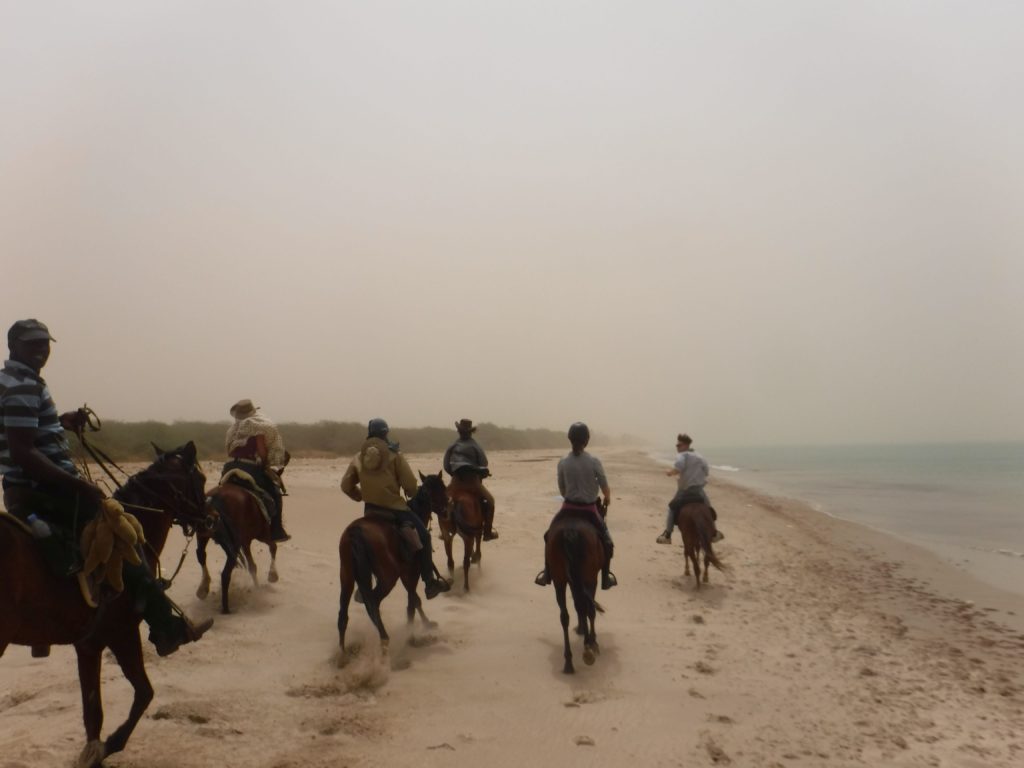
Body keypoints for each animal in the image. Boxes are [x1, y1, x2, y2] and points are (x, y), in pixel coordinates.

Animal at [0, 444, 210, 768]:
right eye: (200, 479)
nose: (211, 518)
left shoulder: (88, 643)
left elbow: (92, 713)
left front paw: (94, 752)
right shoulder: (121, 633)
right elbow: (144, 693)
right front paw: (110, 745)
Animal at [194, 466, 284, 618]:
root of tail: (216, 500)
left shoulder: (245, 542)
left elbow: (252, 566)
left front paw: (257, 588)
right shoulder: (262, 535)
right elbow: (273, 547)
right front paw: (272, 575)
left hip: (203, 535)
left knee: (201, 554)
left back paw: (203, 588)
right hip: (236, 545)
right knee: (225, 573)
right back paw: (225, 608)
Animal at [337, 481, 446, 655]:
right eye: (441, 489)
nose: (448, 508)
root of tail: (355, 533)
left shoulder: (405, 574)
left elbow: (415, 600)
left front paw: (425, 624)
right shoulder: (411, 573)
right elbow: (413, 603)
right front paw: (412, 634)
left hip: (346, 575)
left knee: (343, 614)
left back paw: (343, 652)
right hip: (387, 578)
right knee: (373, 603)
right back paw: (384, 640)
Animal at [548, 514, 602, 675]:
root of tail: (569, 532)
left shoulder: (572, 580)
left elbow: (578, 605)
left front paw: (581, 629)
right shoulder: (590, 580)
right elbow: (587, 608)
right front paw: (592, 639)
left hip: (559, 579)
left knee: (564, 616)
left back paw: (569, 662)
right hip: (589, 578)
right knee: (589, 608)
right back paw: (589, 647)